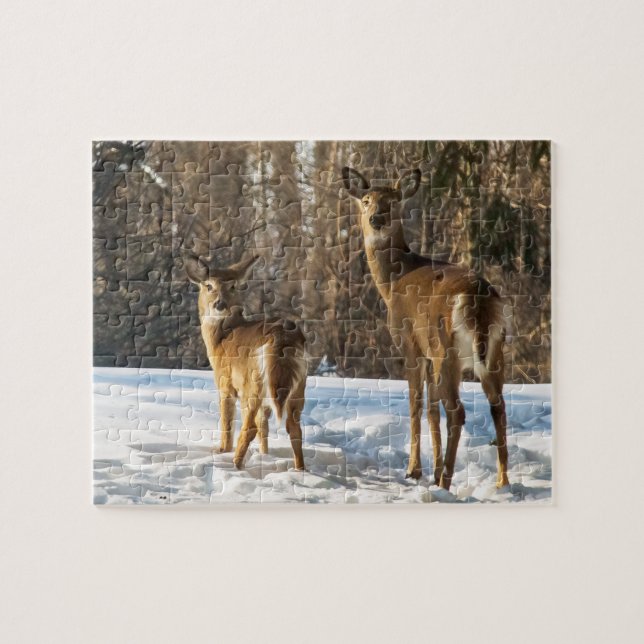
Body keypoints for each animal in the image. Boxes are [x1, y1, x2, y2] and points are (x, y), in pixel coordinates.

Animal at [183, 252, 307, 471]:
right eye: (208, 285)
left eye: (232, 286)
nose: (220, 304)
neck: (222, 339)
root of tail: (282, 336)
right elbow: (264, 426)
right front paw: (265, 454)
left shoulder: (225, 382)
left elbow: (227, 421)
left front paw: (221, 449)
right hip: (297, 384)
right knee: (293, 428)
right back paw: (300, 469)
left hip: (252, 383)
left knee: (250, 426)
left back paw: (236, 464)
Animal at [342, 167, 510, 491]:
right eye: (367, 200)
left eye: (393, 201)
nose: (376, 219)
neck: (392, 282)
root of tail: (477, 299)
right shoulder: (430, 355)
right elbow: (432, 411)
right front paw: (431, 469)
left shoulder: (411, 344)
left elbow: (416, 405)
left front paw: (415, 470)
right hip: (494, 350)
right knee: (498, 407)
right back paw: (502, 481)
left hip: (448, 350)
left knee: (457, 411)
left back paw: (446, 481)